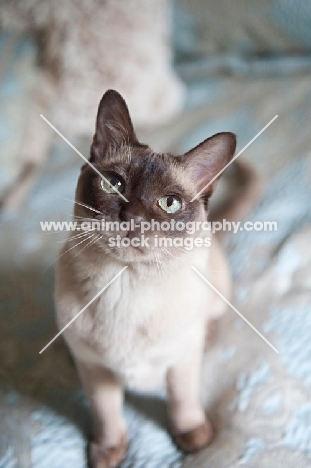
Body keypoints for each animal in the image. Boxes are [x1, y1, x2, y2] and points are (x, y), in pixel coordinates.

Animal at [54, 89, 251, 466]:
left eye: (169, 203)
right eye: (113, 184)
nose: (131, 217)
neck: (124, 284)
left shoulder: (181, 363)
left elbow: (182, 402)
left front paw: (194, 439)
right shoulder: (97, 373)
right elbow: (107, 416)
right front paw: (107, 453)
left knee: (216, 318)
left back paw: (210, 336)